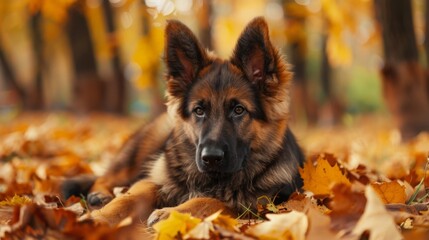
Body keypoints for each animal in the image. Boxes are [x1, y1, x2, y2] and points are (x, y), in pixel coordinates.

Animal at [62, 16, 304, 227]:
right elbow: (127, 197)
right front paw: (98, 218)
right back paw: (100, 194)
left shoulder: (250, 206)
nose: (211, 158)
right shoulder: (149, 181)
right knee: (107, 177)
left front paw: (170, 213)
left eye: (238, 110)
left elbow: (207, 201)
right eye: (199, 110)